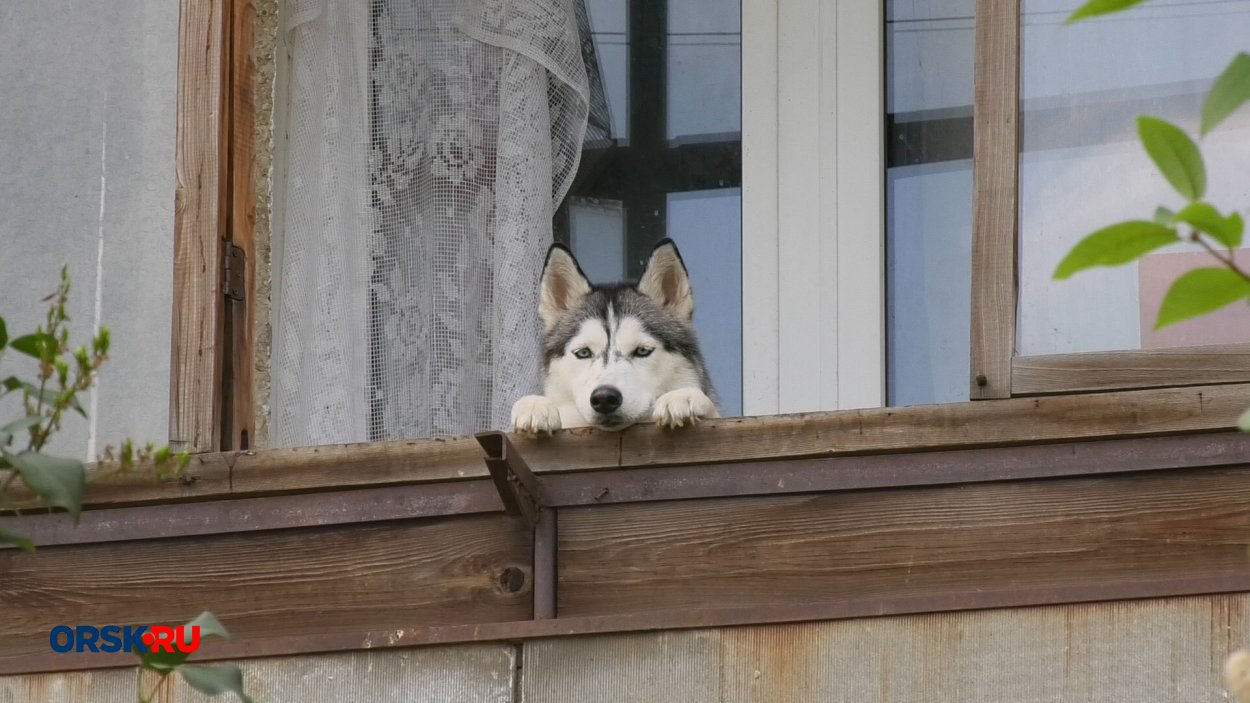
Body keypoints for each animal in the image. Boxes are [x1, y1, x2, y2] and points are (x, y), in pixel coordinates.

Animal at [510, 237, 725, 430]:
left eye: (642, 351)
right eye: (583, 353)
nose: (604, 398)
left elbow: (714, 411)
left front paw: (682, 396)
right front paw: (535, 405)